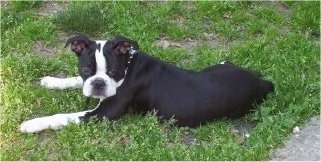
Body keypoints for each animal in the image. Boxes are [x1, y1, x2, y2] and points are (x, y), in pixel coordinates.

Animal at [20, 34, 274, 133]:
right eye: (85, 70)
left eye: (113, 72)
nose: (99, 84)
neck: (128, 65)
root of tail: (263, 82)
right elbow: (73, 81)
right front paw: (51, 81)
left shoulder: (103, 114)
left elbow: (63, 116)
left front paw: (32, 124)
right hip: (221, 65)